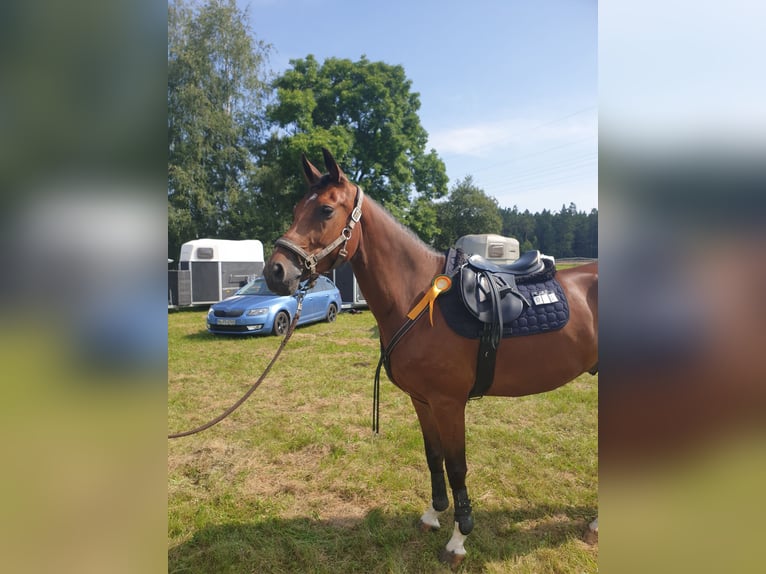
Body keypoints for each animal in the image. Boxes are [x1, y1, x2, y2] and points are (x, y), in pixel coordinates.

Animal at [264, 148, 598, 565]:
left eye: (325, 210)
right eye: (296, 208)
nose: (276, 272)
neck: (417, 298)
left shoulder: (448, 403)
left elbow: (456, 466)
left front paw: (459, 538)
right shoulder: (422, 401)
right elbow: (433, 456)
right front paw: (433, 514)